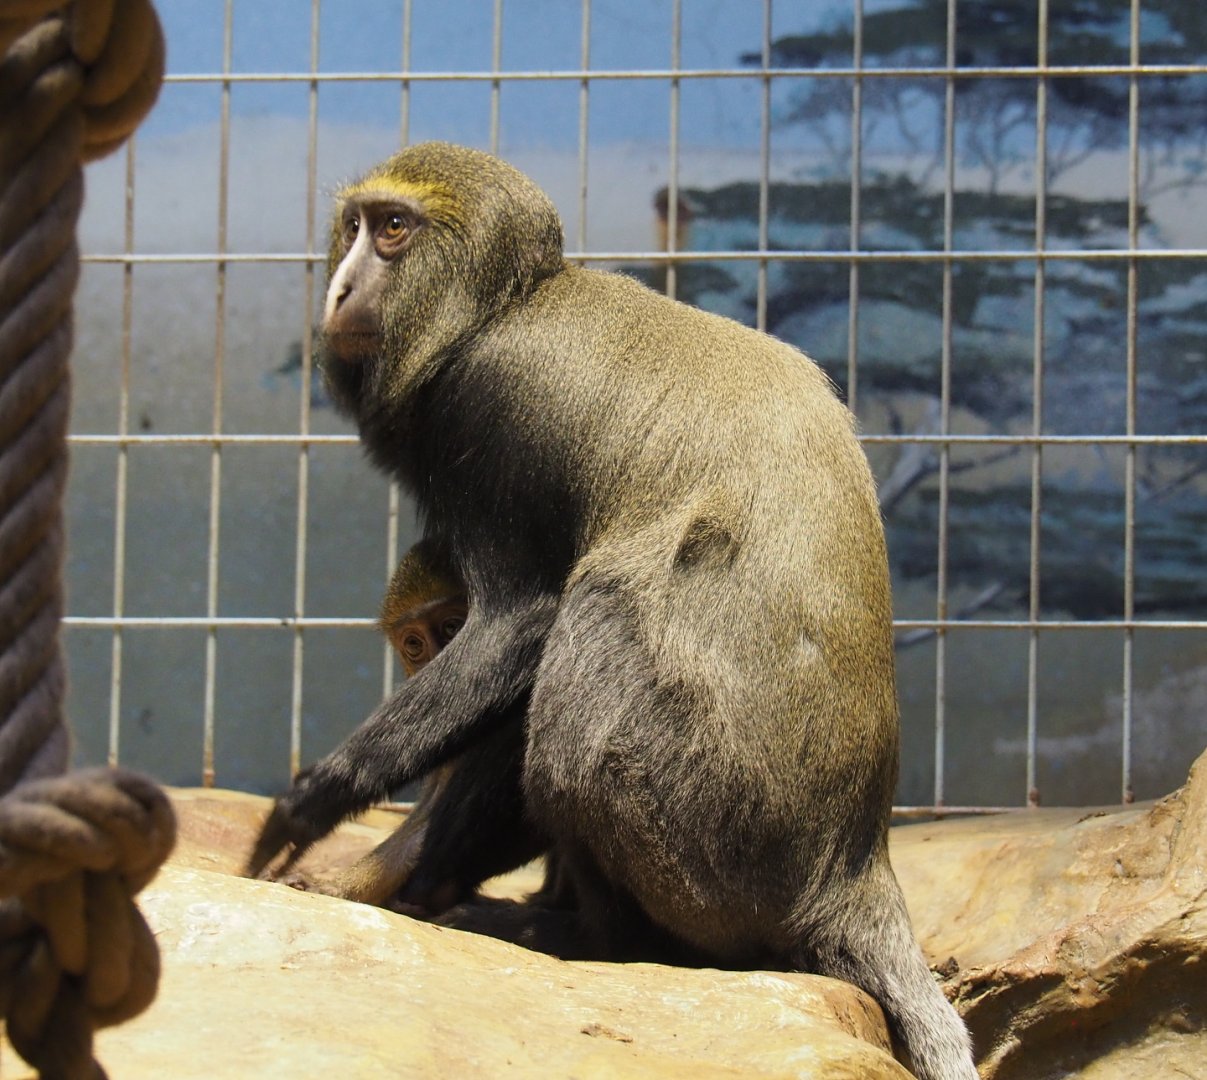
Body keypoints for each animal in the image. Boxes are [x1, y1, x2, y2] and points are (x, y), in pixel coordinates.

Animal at [247, 142, 978, 1080]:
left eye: (395, 230)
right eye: (354, 226)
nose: (339, 289)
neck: (507, 302)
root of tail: (851, 868)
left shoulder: (489, 406)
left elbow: (522, 619)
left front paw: (316, 804)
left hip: (708, 834)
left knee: (587, 665)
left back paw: (594, 938)